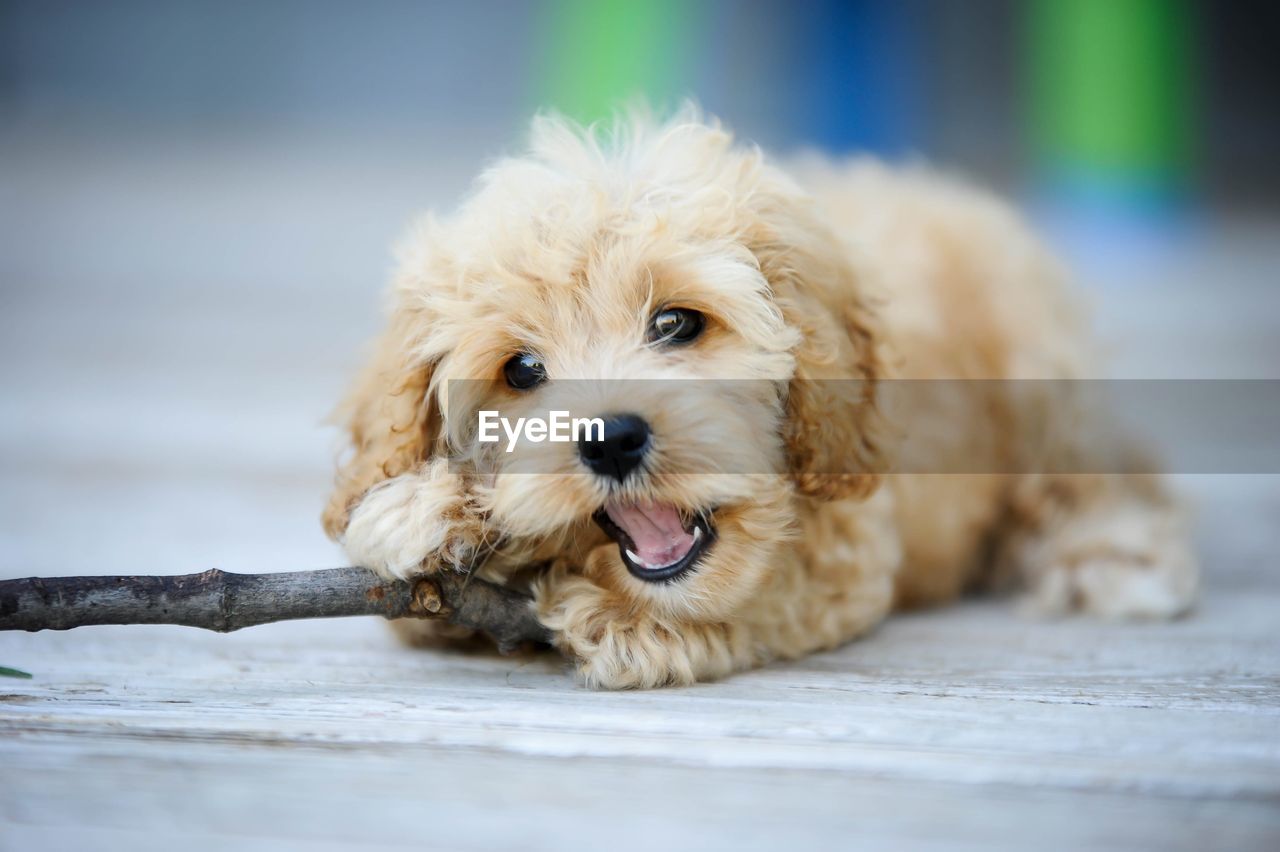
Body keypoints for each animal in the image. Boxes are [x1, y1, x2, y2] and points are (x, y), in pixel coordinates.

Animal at [322, 108, 1198, 690]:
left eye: (676, 322)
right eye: (523, 370)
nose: (610, 438)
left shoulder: (850, 543)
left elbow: (772, 587)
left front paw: (632, 624)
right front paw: (426, 508)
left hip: (1041, 370)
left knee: (1096, 475)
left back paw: (1112, 558)